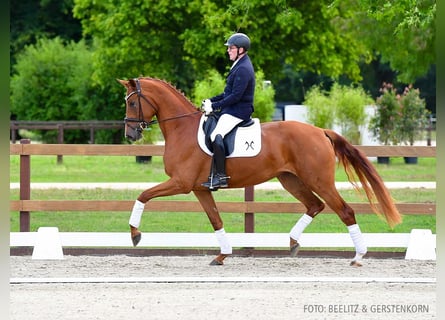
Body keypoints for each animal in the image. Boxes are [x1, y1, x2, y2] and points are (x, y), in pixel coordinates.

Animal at [117, 77, 398, 268]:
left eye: (133, 102)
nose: (130, 135)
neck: (182, 128)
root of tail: (320, 131)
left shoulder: (181, 183)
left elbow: (143, 195)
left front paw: (135, 235)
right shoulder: (199, 188)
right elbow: (216, 220)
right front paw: (222, 255)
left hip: (318, 180)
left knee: (344, 211)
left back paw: (358, 256)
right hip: (290, 180)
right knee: (315, 206)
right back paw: (293, 243)